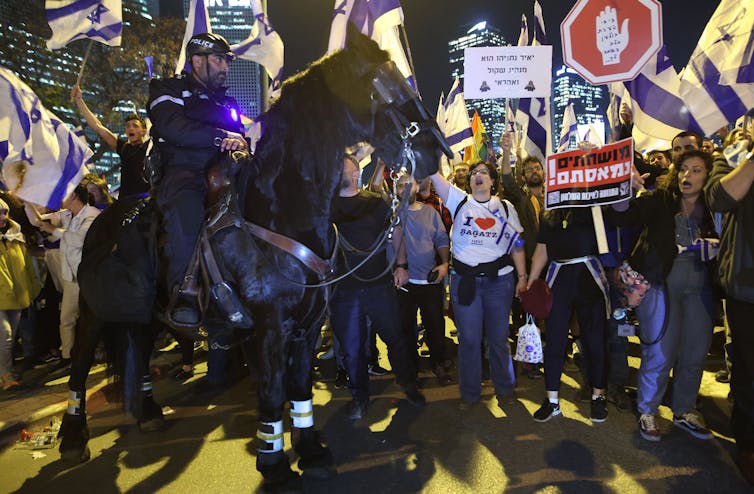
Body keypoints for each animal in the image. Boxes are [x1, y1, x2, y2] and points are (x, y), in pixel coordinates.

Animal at [58, 30, 450, 490]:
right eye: (385, 84)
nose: (435, 152)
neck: (281, 210)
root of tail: (106, 217)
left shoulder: (307, 326)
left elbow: (298, 389)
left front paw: (310, 450)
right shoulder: (268, 327)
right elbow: (271, 393)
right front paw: (275, 464)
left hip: (145, 313)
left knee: (137, 347)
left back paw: (150, 412)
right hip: (93, 310)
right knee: (80, 363)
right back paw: (72, 435)